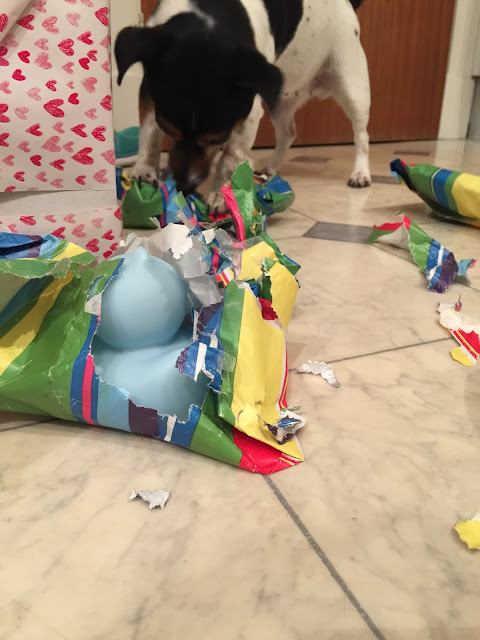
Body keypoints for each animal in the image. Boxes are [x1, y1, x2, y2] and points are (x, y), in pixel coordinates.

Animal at [115, 0, 372, 208]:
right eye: (168, 130)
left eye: (215, 139)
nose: (184, 187)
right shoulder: (149, 90)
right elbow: (149, 134)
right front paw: (144, 170)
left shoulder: (247, 113)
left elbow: (229, 159)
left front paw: (221, 194)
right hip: (280, 100)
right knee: (288, 133)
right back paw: (270, 167)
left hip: (351, 83)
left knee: (361, 134)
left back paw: (361, 173)